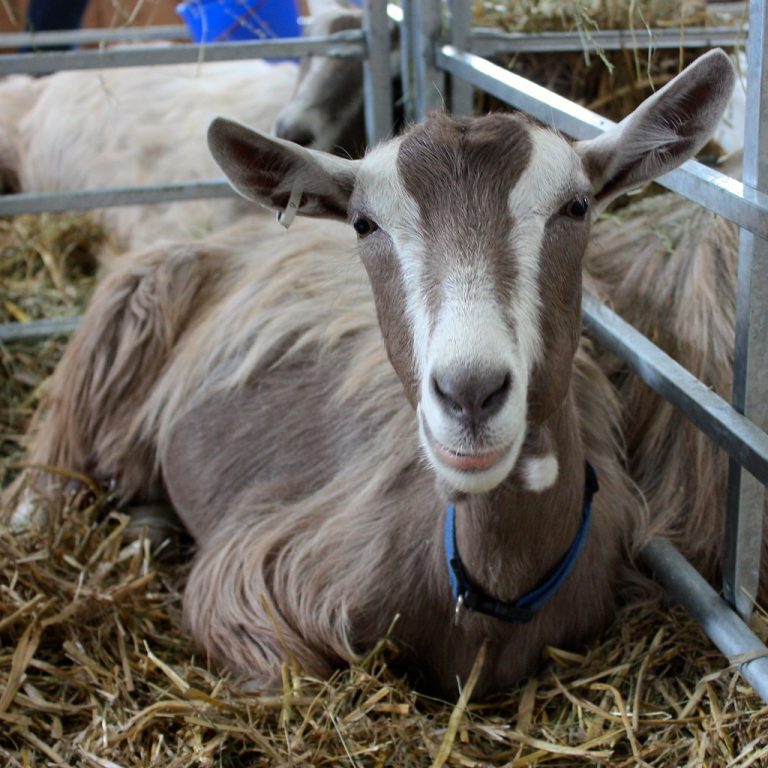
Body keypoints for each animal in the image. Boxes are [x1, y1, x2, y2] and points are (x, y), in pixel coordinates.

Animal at [7, 50, 735, 697]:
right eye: (363, 223)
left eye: (577, 207)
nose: (470, 394)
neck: (490, 590)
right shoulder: (247, 573)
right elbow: (289, 672)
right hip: (129, 308)